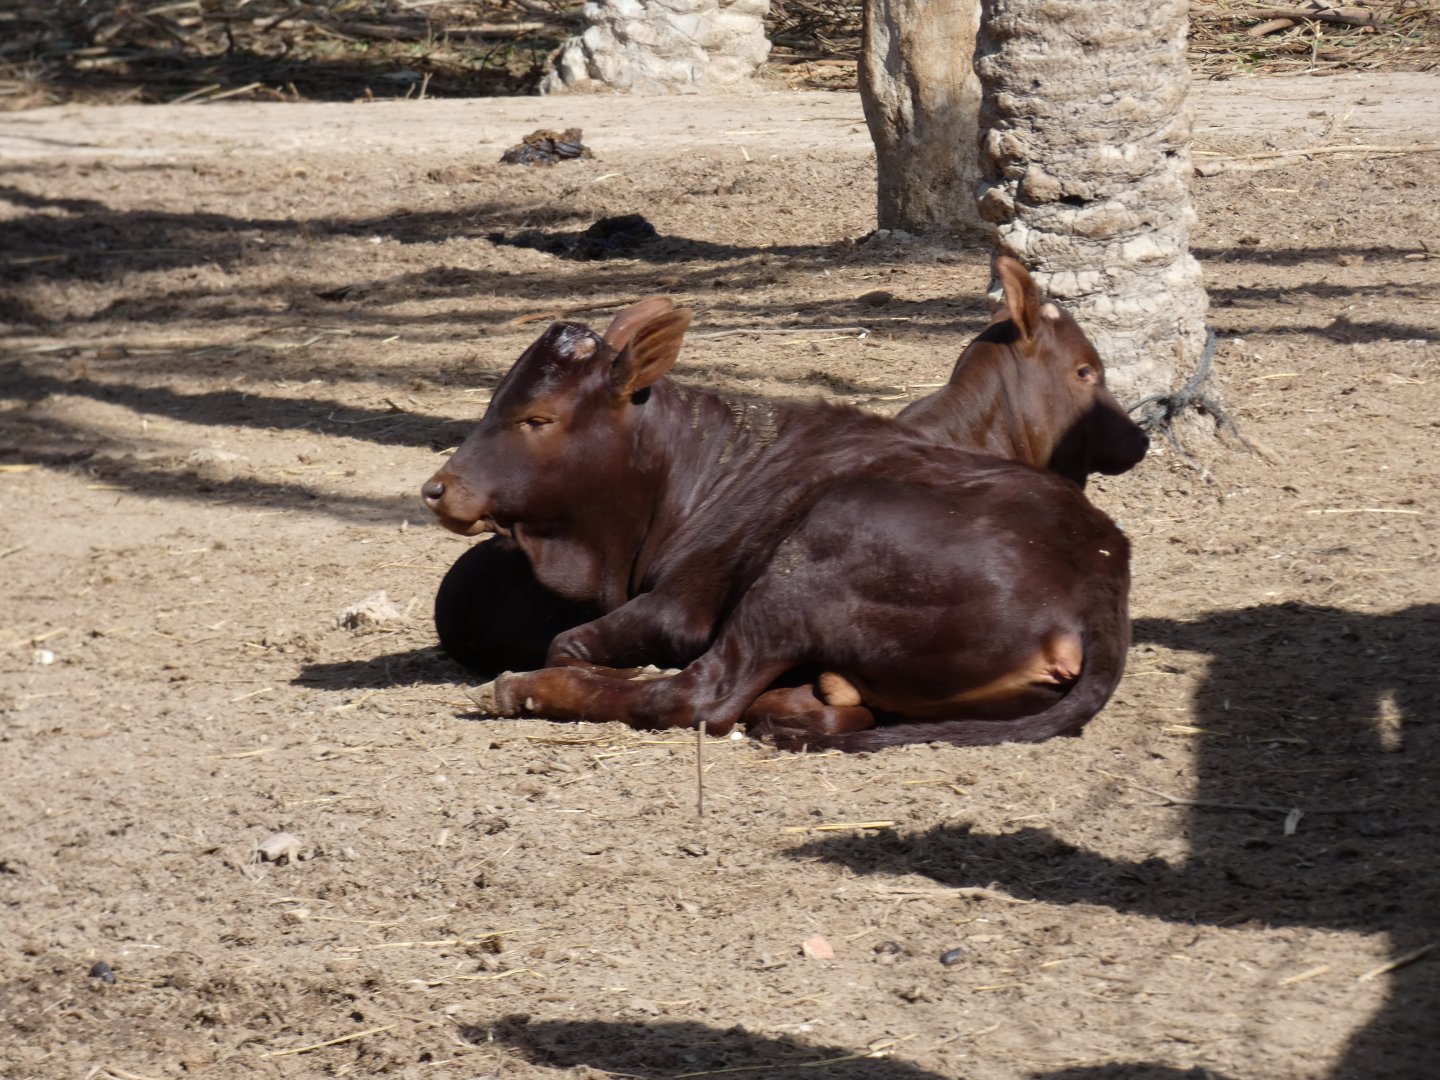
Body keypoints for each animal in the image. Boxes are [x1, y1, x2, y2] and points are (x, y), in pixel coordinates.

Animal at [421, 299, 1132, 751]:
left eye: (537, 417)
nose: (437, 489)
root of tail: (1100, 575)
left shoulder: (679, 608)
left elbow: (570, 644)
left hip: (812, 555)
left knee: (700, 695)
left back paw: (523, 690)